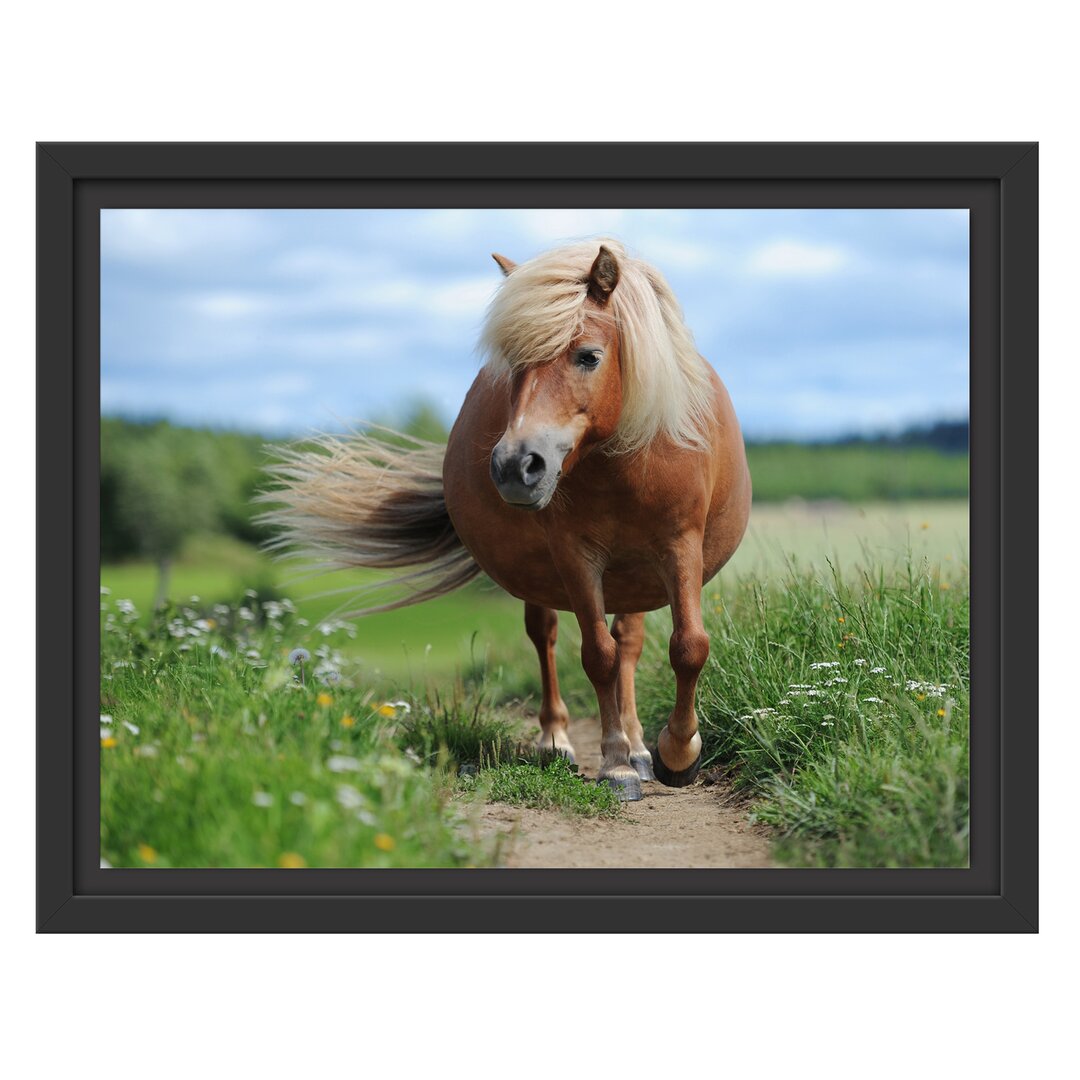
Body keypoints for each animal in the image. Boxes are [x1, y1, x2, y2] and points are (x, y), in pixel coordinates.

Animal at [261, 240, 751, 799]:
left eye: (589, 356)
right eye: (514, 365)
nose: (517, 466)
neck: (624, 462)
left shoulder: (679, 546)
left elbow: (687, 646)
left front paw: (676, 753)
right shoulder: (576, 556)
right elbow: (597, 655)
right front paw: (616, 765)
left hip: (636, 577)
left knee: (629, 642)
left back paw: (641, 748)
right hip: (547, 577)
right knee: (548, 636)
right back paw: (559, 742)